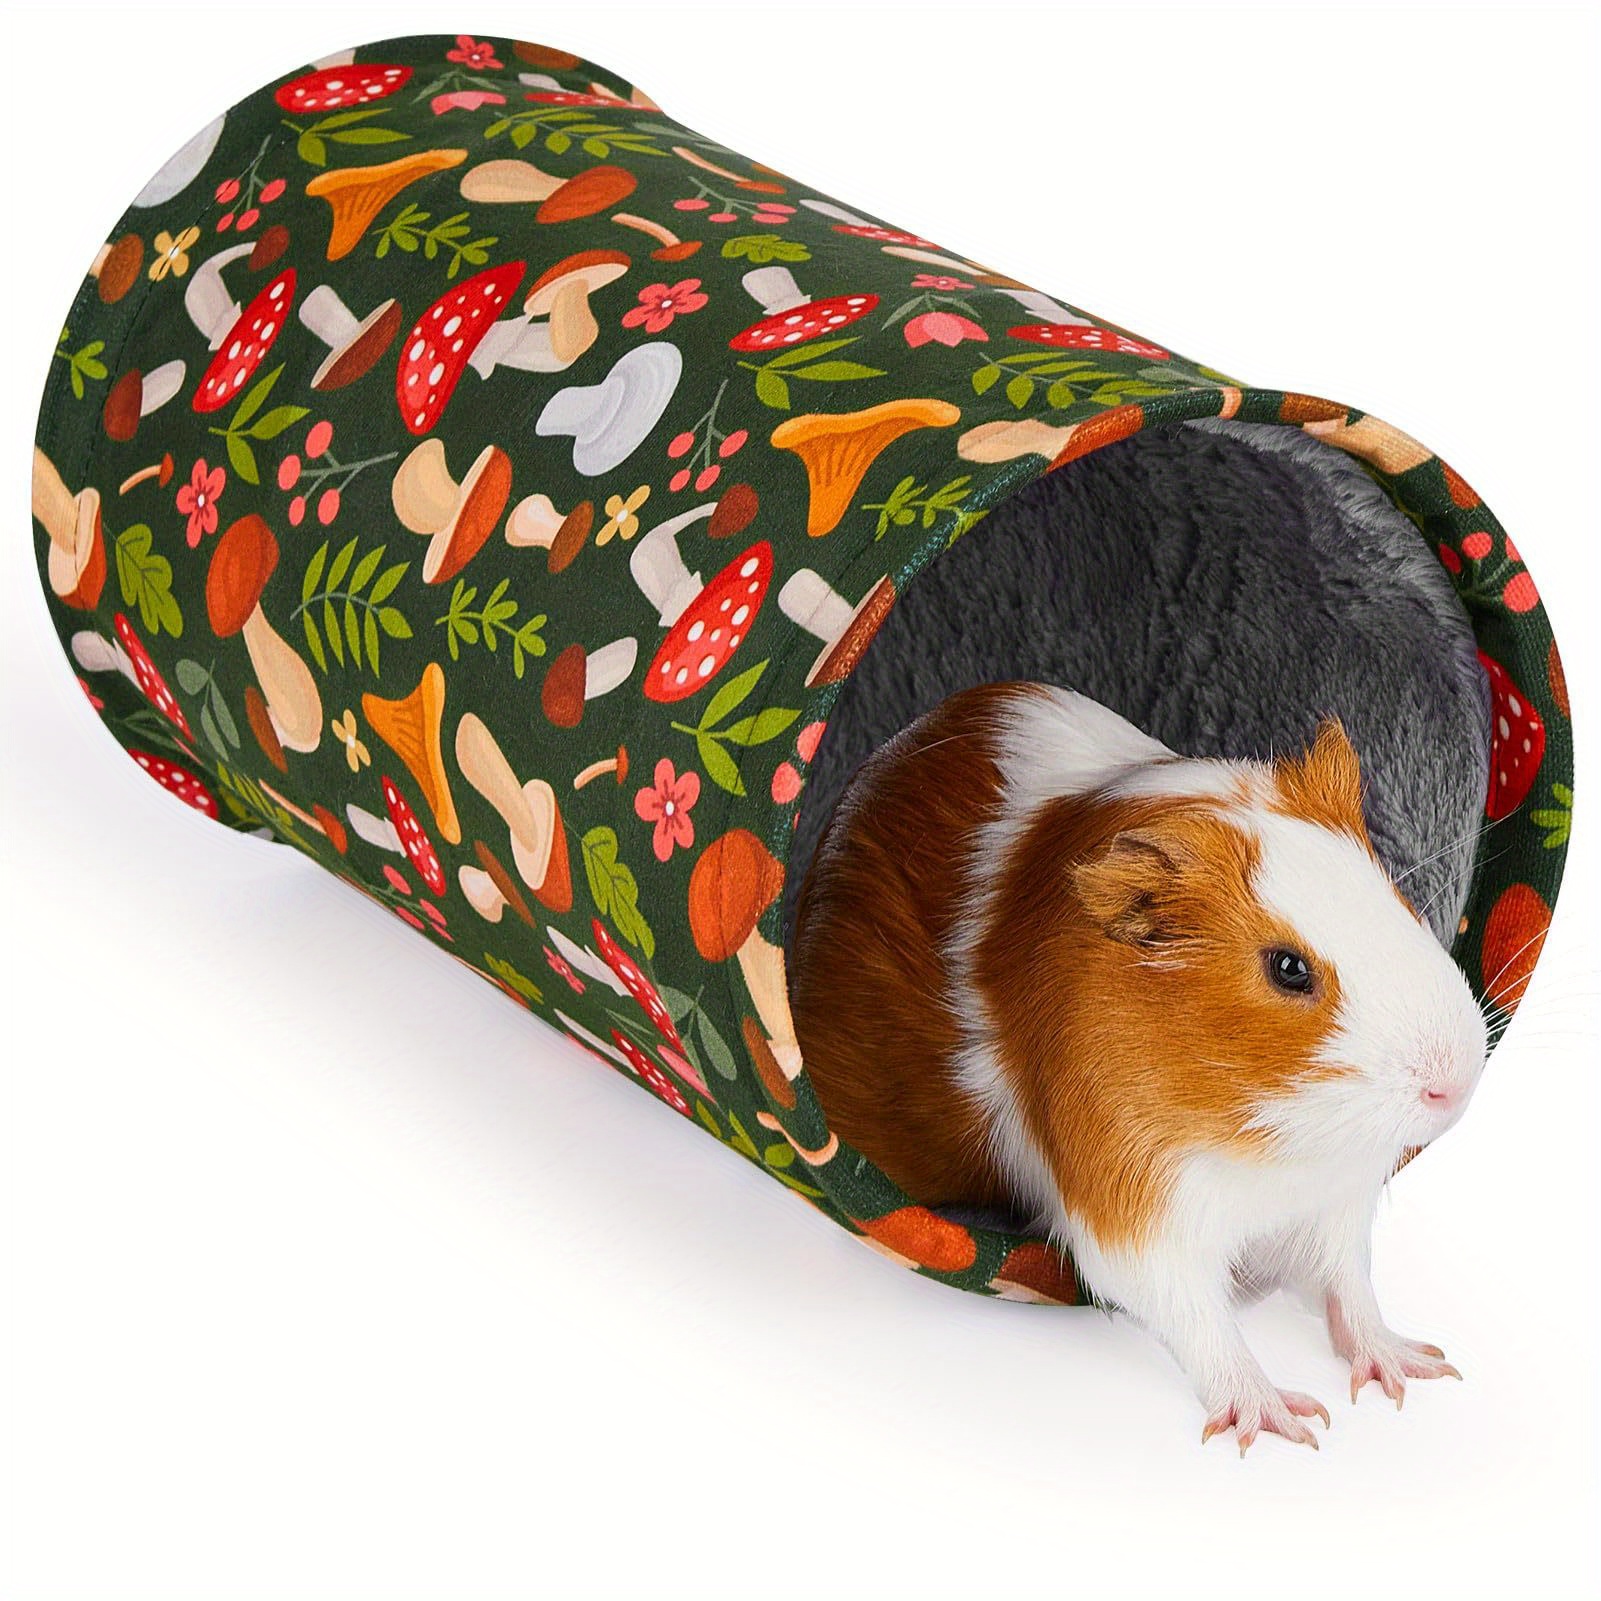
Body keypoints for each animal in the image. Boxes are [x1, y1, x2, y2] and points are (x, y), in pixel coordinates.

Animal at [790, 682, 1488, 1451]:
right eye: (1287, 968)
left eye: (1391, 896)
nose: (1454, 1080)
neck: (1258, 1137)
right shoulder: (1134, 1207)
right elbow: (1200, 1319)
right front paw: (1283, 1422)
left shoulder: (1331, 1200)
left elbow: (1348, 1286)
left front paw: (1413, 1369)